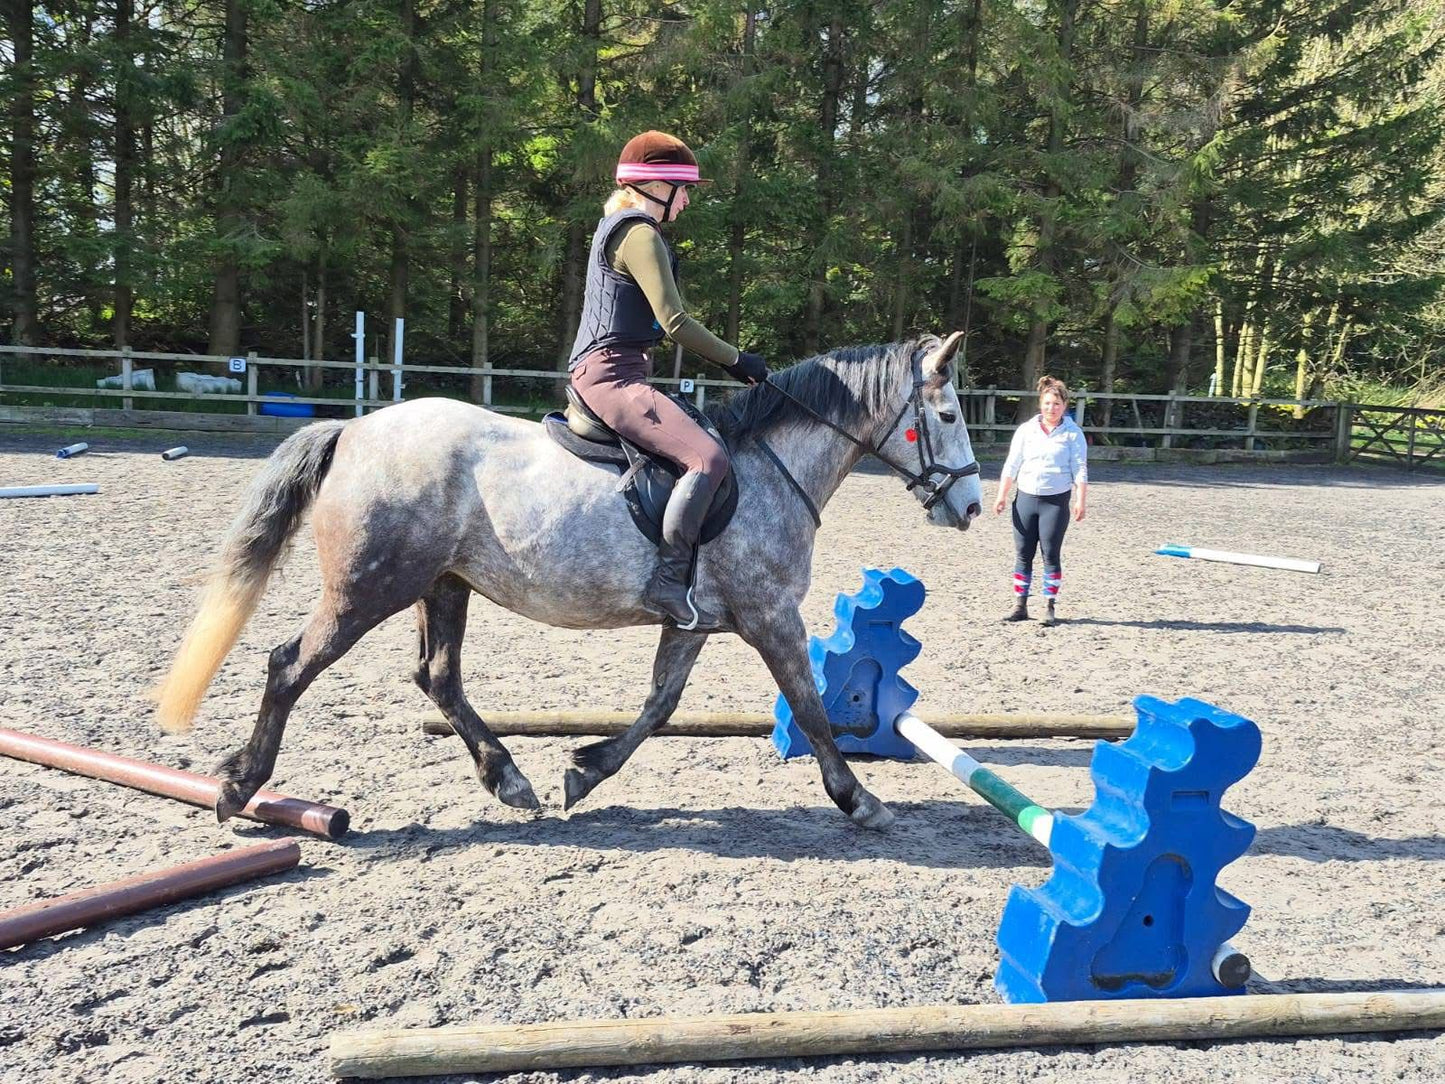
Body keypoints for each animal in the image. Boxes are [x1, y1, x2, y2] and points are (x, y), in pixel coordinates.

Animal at [155, 331, 983, 829]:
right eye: (945, 413)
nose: (973, 505)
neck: (769, 466)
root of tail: (353, 429)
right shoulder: (771, 616)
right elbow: (809, 707)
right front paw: (859, 798)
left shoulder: (698, 622)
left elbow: (659, 705)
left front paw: (586, 771)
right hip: (367, 590)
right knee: (289, 666)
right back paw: (239, 785)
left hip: (441, 583)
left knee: (438, 677)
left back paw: (508, 780)